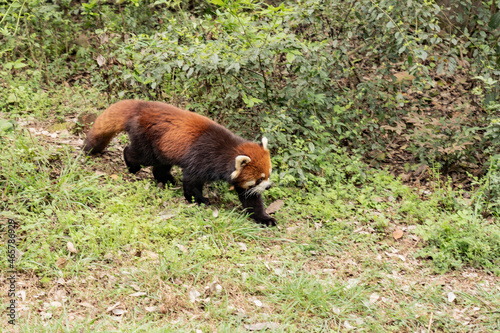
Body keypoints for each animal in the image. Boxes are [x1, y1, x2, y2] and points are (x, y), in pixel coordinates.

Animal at [82, 100, 278, 226]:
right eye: (260, 179)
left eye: (268, 175)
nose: (269, 186)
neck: (227, 151)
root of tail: (142, 106)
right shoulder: (201, 158)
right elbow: (191, 181)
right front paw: (199, 200)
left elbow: (251, 198)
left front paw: (264, 218)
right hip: (146, 138)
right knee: (138, 155)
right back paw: (132, 166)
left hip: (163, 145)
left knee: (160, 164)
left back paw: (165, 179)